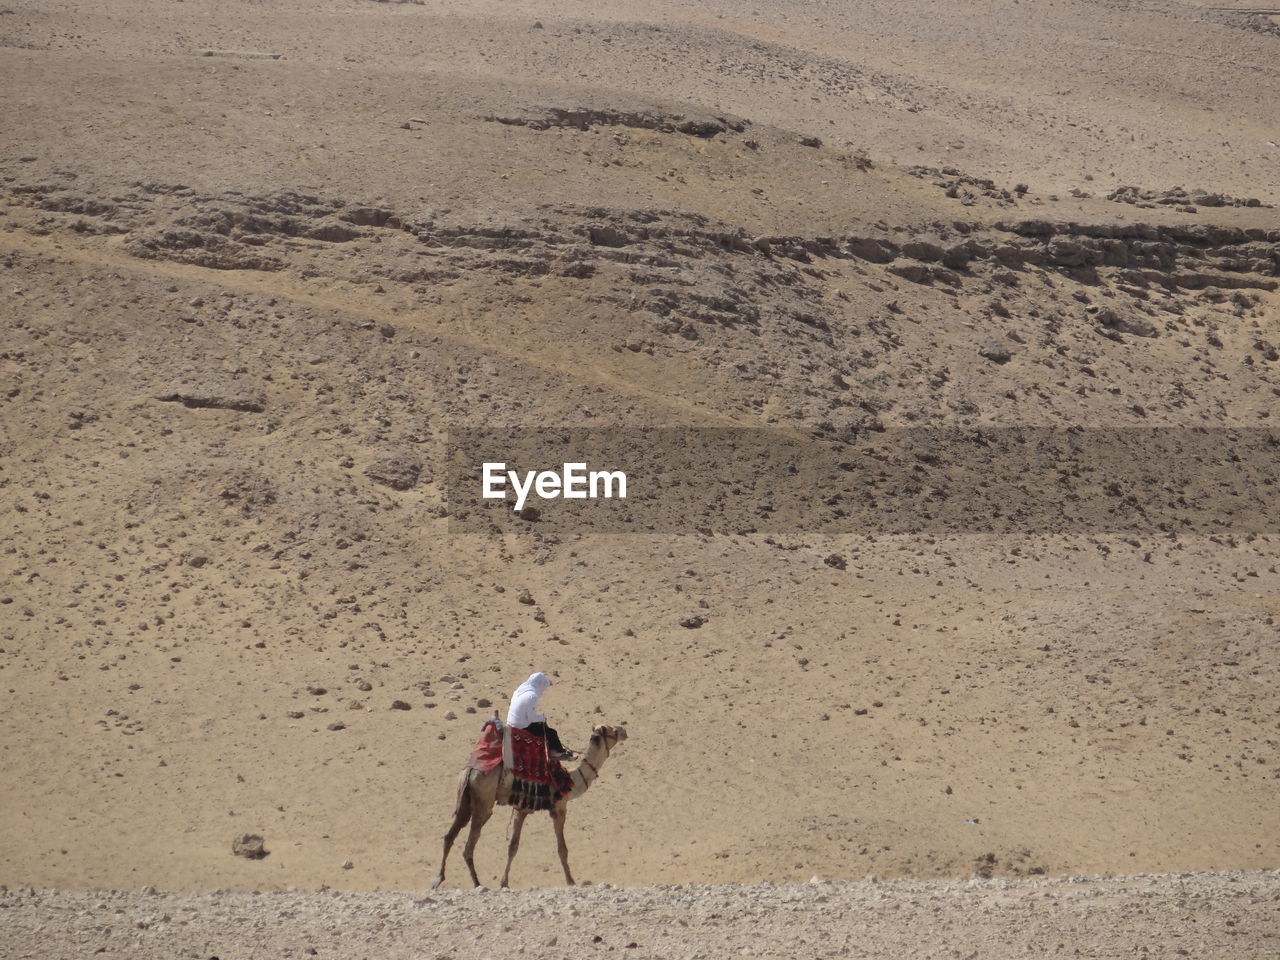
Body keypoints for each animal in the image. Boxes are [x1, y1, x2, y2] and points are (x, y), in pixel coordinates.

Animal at [432, 727, 627, 890]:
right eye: (611, 731)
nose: (624, 731)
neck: (572, 779)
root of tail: (471, 771)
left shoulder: (522, 809)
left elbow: (513, 846)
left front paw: (504, 883)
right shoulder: (559, 809)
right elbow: (562, 849)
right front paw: (571, 881)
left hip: (465, 799)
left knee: (449, 836)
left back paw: (438, 879)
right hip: (483, 801)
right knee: (468, 846)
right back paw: (477, 883)